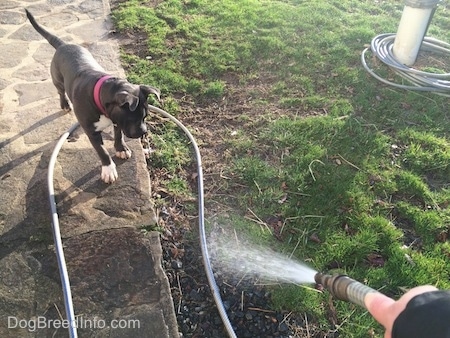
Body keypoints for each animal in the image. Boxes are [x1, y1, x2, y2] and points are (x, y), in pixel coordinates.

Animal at [25, 9, 160, 182]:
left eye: (145, 116)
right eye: (133, 118)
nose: (143, 132)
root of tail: (63, 45)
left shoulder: (117, 120)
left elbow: (118, 135)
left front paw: (121, 148)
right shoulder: (92, 131)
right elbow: (102, 151)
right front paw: (108, 169)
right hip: (57, 78)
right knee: (60, 91)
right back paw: (65, 104)